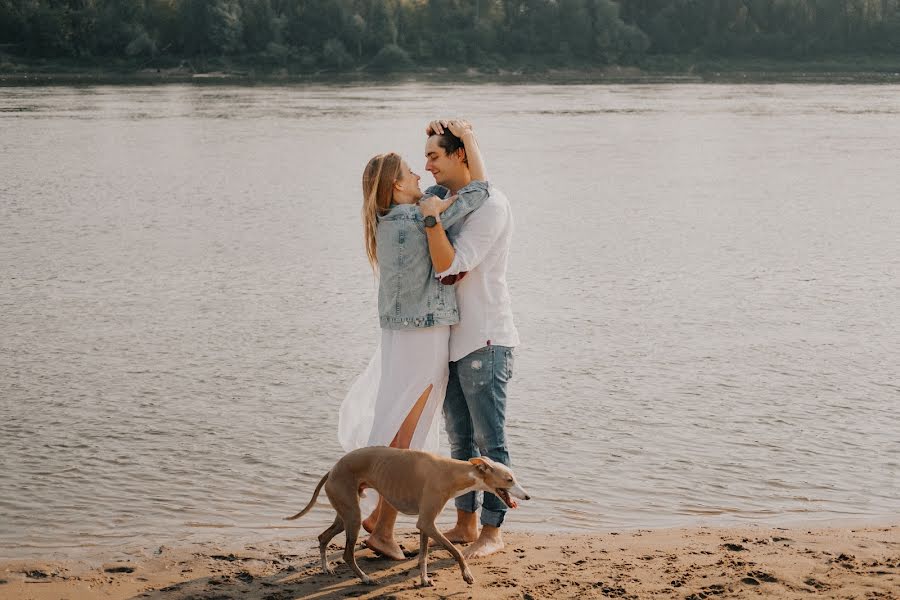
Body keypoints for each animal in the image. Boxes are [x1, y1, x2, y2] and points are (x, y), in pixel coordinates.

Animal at [286, 450, 528, 584]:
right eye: (509, 479)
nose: (527, 496)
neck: (453, 472)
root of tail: (333, 469)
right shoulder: (427, 522)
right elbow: (456, 550)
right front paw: (467, 575)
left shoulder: (426, 524)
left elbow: (423, 556)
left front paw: (424, 580)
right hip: (352, 516)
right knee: (346, 554)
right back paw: (365, 578)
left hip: (345, 516)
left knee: (323, 537)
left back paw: (326, 568)